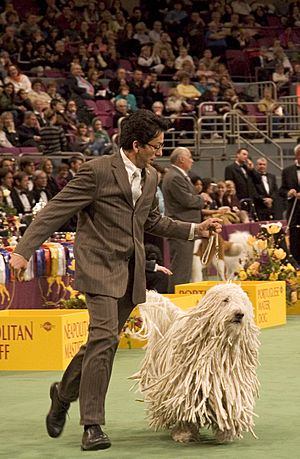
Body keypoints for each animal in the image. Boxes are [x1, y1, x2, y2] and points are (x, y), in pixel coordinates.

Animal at [134, 284, 260, 446]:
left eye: (243, 302)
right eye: (226, 300)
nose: (239, 314)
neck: (218, 347)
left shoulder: (229, 382)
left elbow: (227, 405)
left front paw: (226, 432)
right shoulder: (184, 387)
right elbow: (183, 409)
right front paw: (184, 433)